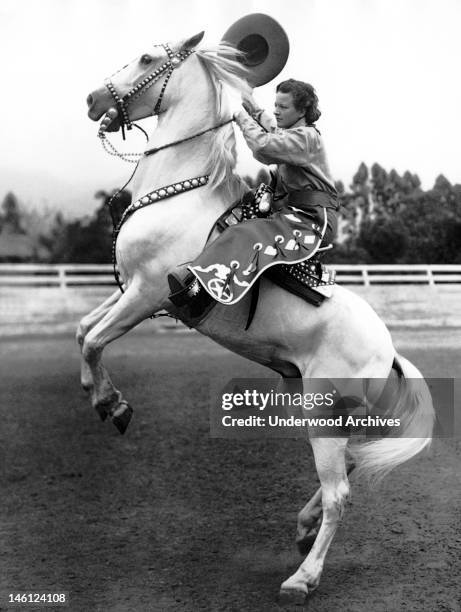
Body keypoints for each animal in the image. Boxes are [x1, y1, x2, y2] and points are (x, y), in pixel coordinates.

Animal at [82, 32, 434, 604]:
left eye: (148, 58)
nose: (93, 101)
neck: (183, 190)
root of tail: (389, 353)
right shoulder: (133, 290)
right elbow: (82, 331)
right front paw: (105, 400)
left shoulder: (148, 292)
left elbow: (94, 341)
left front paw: (113, 406)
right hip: (325, 409)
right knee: (350, 465)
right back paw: (303, 529)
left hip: (321, 412)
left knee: (339, 492)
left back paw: (303, 577)